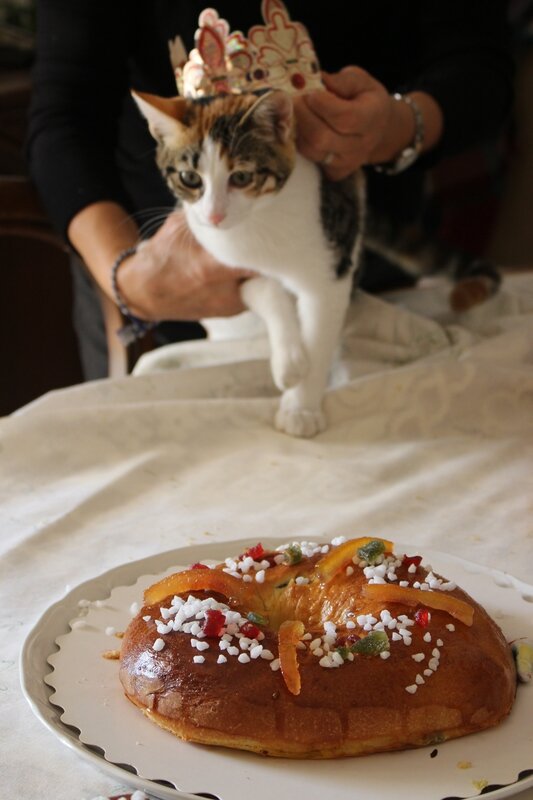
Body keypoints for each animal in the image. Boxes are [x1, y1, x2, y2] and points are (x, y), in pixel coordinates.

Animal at [133, 90, 366, 438]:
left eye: (241, 176)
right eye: (190, 178)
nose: (214, 216)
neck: (258, 222)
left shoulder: (334, 258)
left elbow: (319, 332)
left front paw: (300, 407)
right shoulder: (222, 263)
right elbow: (264, 287)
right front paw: (289, 359)